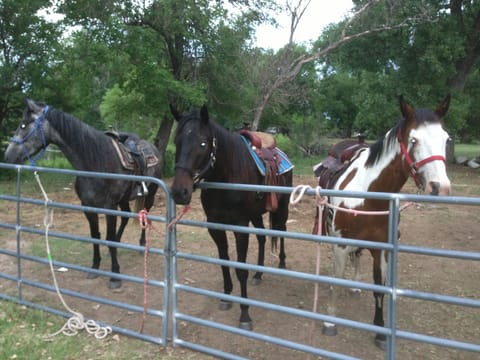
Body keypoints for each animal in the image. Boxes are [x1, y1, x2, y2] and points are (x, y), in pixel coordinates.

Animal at [5, 98, 163, 290]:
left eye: (23, 125)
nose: (8, 156)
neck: (95, 162)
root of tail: (154, 149)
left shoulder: (109, 207)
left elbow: (109, 237)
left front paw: (115, 276)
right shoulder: (88, 206)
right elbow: (95, 236)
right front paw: (95, 267)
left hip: (150, 195)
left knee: (145, 216)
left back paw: (142, 245)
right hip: (124, 199)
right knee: (125, 217)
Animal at [171, 104, 294, 330]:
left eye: (203, 143)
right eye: (177, 141)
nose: (179, 192)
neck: (226, 176)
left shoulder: (240, 227)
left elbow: (240, 269)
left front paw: (245, 314)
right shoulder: (215, 226)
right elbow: (225, 261)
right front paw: (226, 297)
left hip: (282, 207)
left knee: (281, 230)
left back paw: (281, 262)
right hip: (256, 214)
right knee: (262, 237)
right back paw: (259, 273)